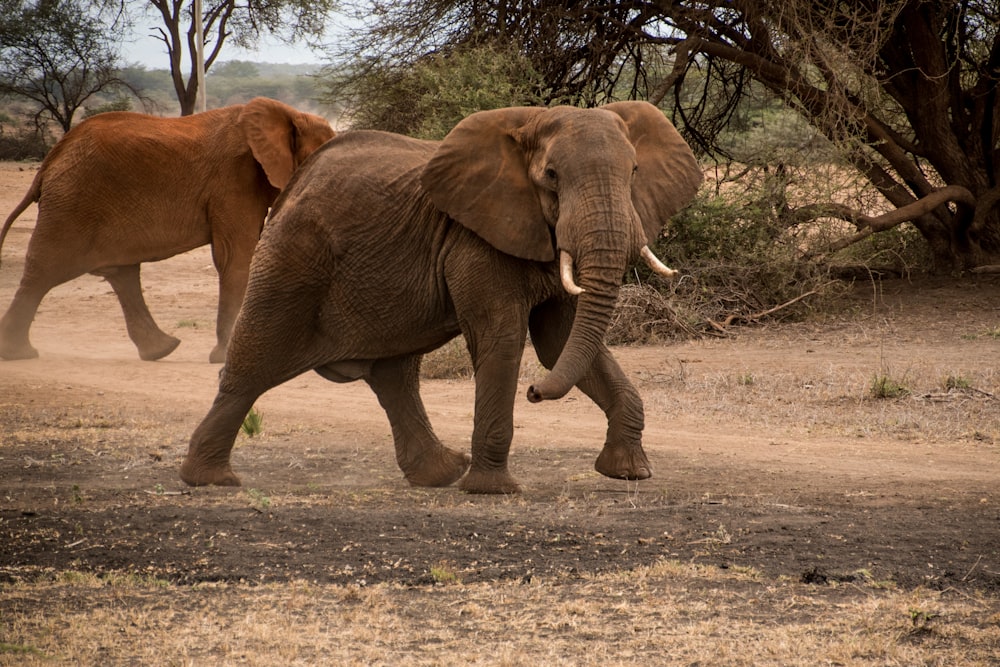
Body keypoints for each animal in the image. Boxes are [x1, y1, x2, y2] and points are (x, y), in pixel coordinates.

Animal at [0, 96, 336, 362]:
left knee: (122, 274)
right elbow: (236, 257)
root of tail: (50, 161)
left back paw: (161, 350)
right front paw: (227, 357)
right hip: (73, 203)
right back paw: (19, 354)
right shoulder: (233, 180)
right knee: (46, 269)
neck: (289, 115)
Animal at [180, 102, 704, 494]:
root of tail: (296, 181)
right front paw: (494, 490)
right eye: (552, 176)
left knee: (394, 376)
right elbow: (503, 337)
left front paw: (629, 472)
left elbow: (561, 342)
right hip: (291, 258)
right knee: (252, 365)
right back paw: (210, 480)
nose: (534, 392)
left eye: (634, 171)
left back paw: (441, 474)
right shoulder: (476, 239)